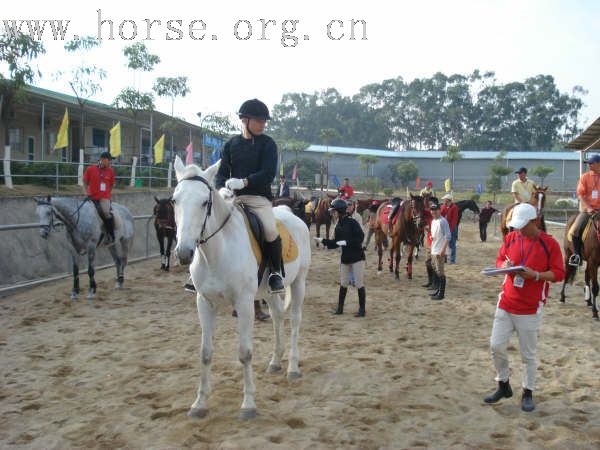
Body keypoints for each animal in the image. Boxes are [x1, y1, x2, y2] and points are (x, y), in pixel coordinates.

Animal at [172, 156, 310, 420]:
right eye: (175, 200)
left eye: (205, 202)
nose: (184, 253)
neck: (217, 251)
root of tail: (292, 215)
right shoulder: (204, 302)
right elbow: (205, 353)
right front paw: (199, 404)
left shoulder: (245, 303)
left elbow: (245, 353)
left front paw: (248, 404)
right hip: (269, 291)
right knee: (278, 317)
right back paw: (275, 362)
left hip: (299, 282)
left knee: (296, 321)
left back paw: (292, 368)